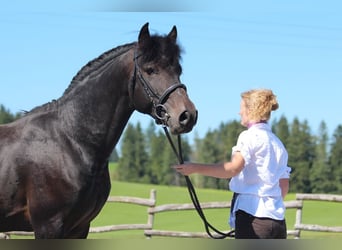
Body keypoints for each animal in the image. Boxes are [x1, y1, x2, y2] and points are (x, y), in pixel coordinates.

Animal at [0, 23, 198, 238]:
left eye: (178, 69)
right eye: (150, 70)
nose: (187, 115)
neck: (70, 140)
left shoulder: (80, 228)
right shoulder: (48, 226)